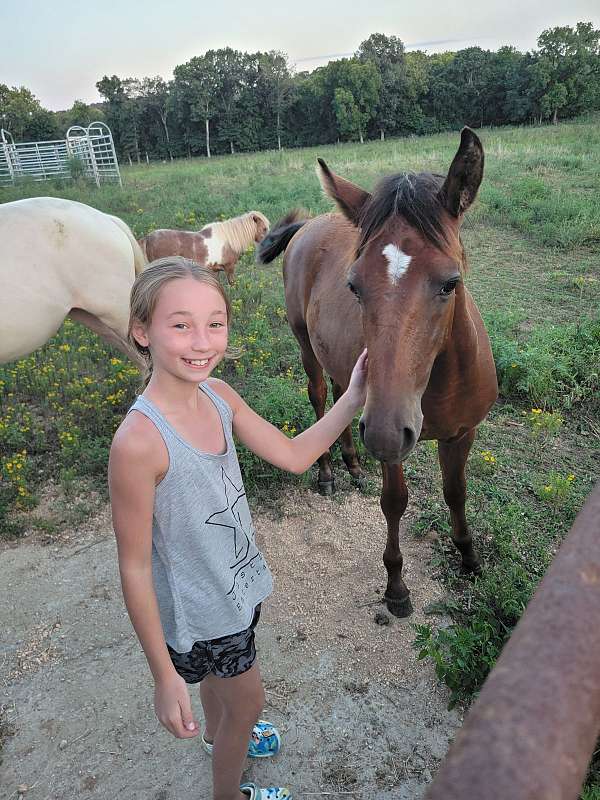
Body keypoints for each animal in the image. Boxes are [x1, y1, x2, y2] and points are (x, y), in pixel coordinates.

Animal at [256, 128, 496, 616]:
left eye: (451, 283)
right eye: (354, 285)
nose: (383, 433)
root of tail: (309, 224)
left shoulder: (461, 433)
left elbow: (456, 492)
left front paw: (469, 557)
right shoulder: (393, 439)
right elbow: (395, 503)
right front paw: (396, 587)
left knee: (338, 395)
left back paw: (351, 464)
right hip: (305, 344)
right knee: (318, 395)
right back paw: (329, 474)